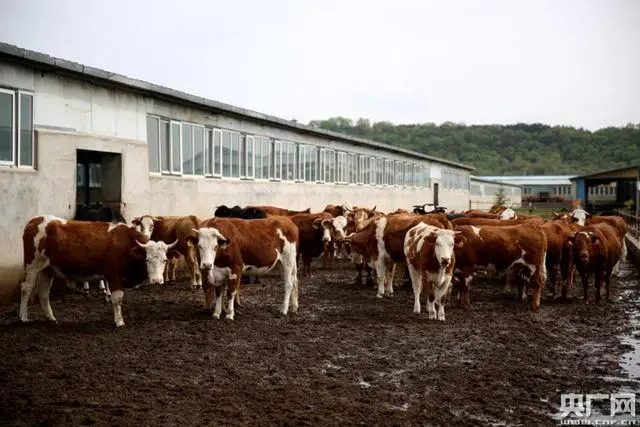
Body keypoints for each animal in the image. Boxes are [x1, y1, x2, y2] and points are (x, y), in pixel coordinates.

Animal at [18, 217, 178, 328]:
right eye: (148, 260)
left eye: (164, 260)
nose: (157, 281)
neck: (127, 244)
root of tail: (35, 220)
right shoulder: (114, 275)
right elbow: (117, 298)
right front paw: (119, 321)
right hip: (33, 265)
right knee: (26, 288)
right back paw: (23, 317)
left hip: (48, 269)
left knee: (43, 293)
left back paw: (51, 319)